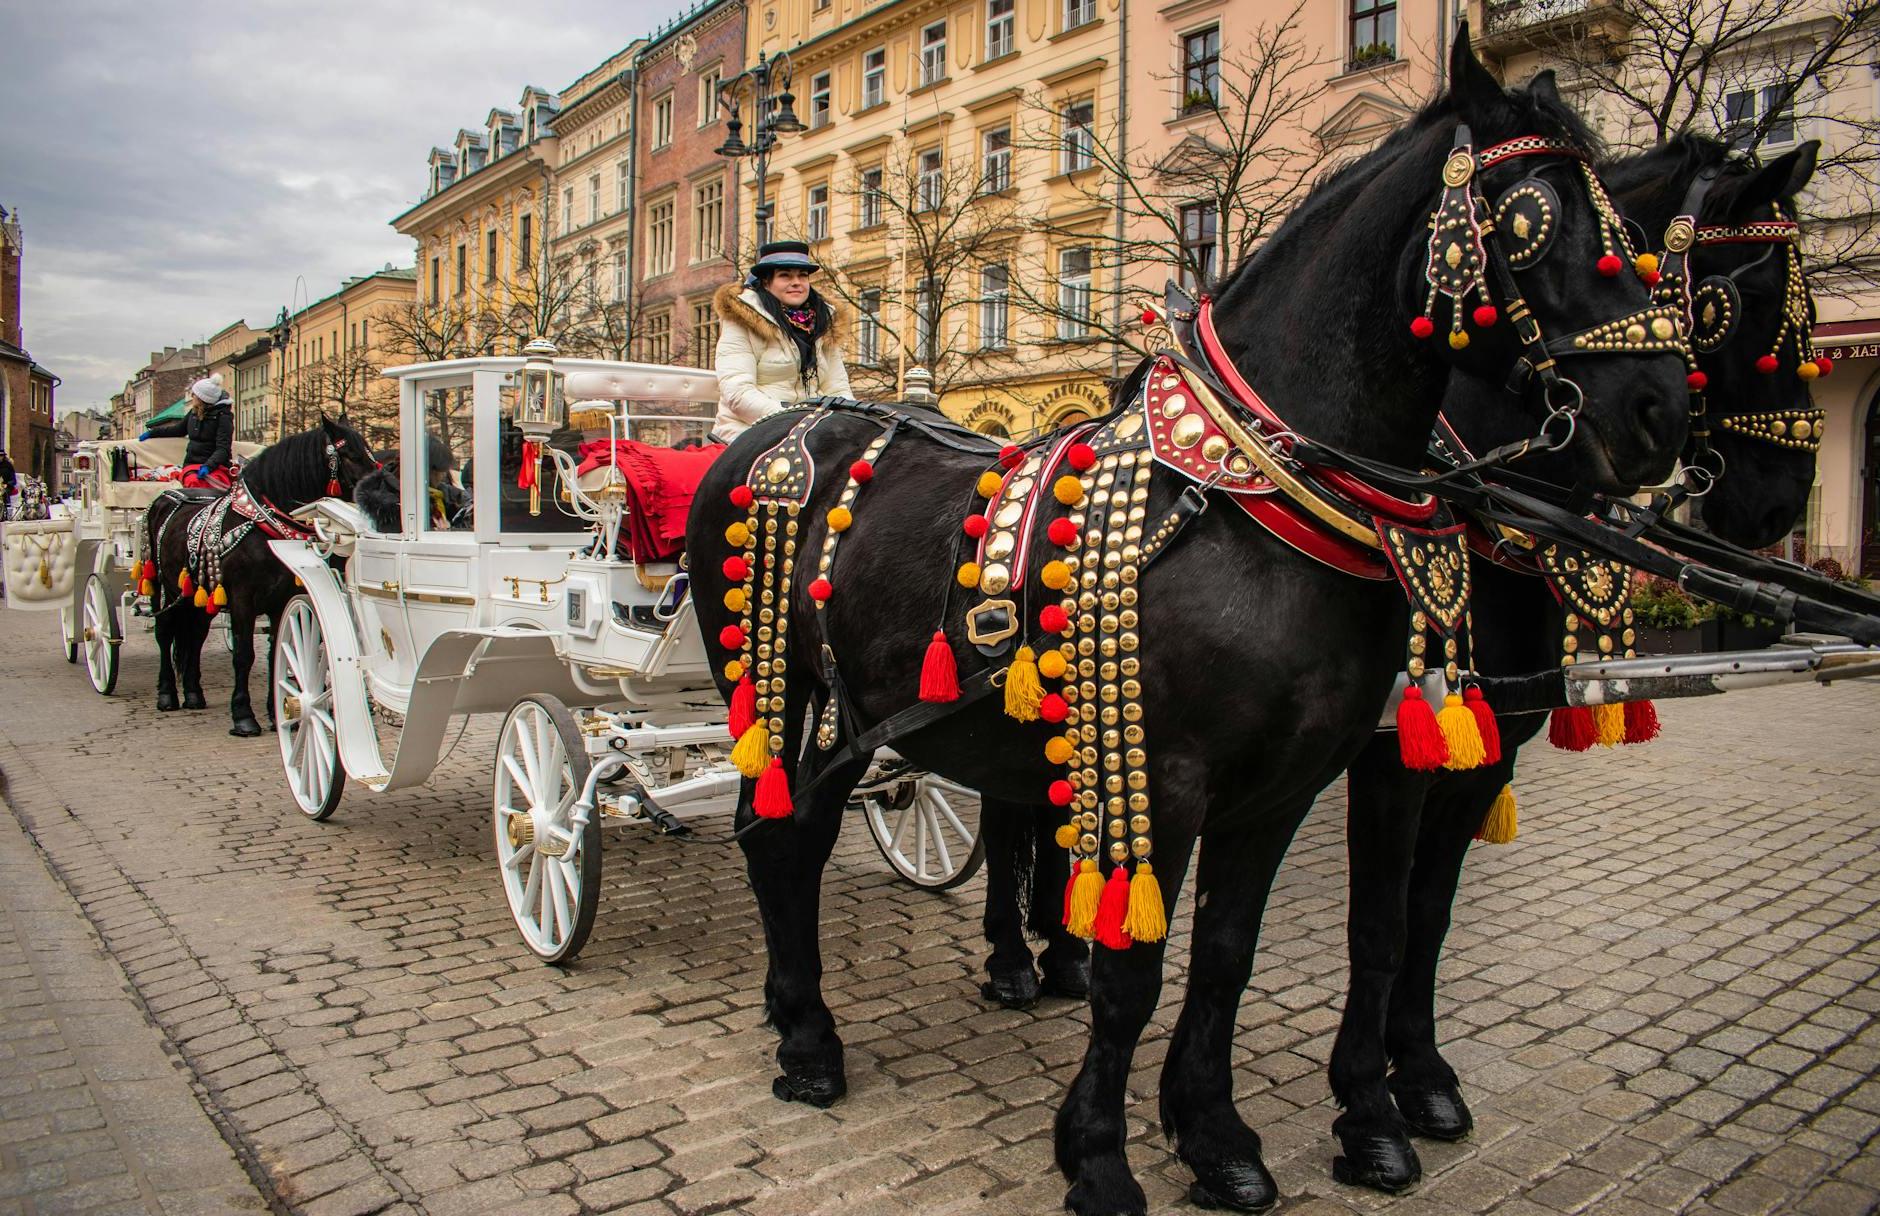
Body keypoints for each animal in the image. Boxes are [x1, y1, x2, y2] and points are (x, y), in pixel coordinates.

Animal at [144, 419, 376, 736]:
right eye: (351, 455)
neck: (265, 527)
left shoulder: (281, 600)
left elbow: (277, 651)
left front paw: (277, 713)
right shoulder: (242, 599)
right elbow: (244, 655)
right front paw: (243, 716)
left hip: (200, 592)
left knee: (196, 635)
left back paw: (193, 693)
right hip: (163, 585)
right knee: (165, 631)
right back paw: (167, 694)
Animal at [688, 38, 1692, 1216]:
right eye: (1532, 215)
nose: (1659, 411)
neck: (1257, 501)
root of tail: (786, 424)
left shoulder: (1285, 786)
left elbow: (1226, 954)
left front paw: (1216, 1138)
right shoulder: (1166, 779)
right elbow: (1134, 973)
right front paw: (1099, 1157)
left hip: (857, 706)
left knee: (791, 832)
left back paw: (795, 1015)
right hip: (773, 686)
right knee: (782, 835)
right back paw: (808, 1040)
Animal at [1323, 133, 1819, 1187]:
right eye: (1750, 304)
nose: (1777, 503)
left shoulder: (1491, 744)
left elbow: (1429, 913)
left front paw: (1421, 1076)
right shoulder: (1392, 757)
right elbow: (1379, 923)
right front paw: (1365, 1109)